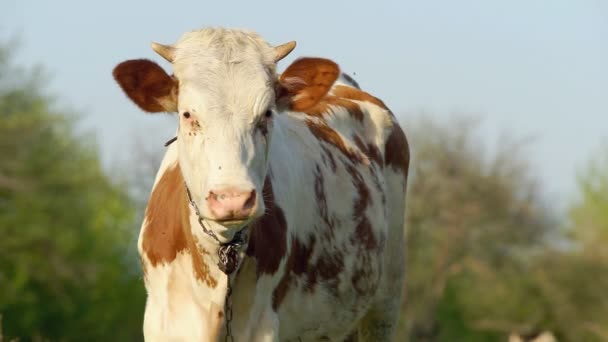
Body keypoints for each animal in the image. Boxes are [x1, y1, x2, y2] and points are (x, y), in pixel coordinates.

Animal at [113, 27, 408, 342]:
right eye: (188, 114)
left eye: (266, 113)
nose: (232, 198)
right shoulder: (163, 322)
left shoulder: (261, 325)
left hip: (384, 304)